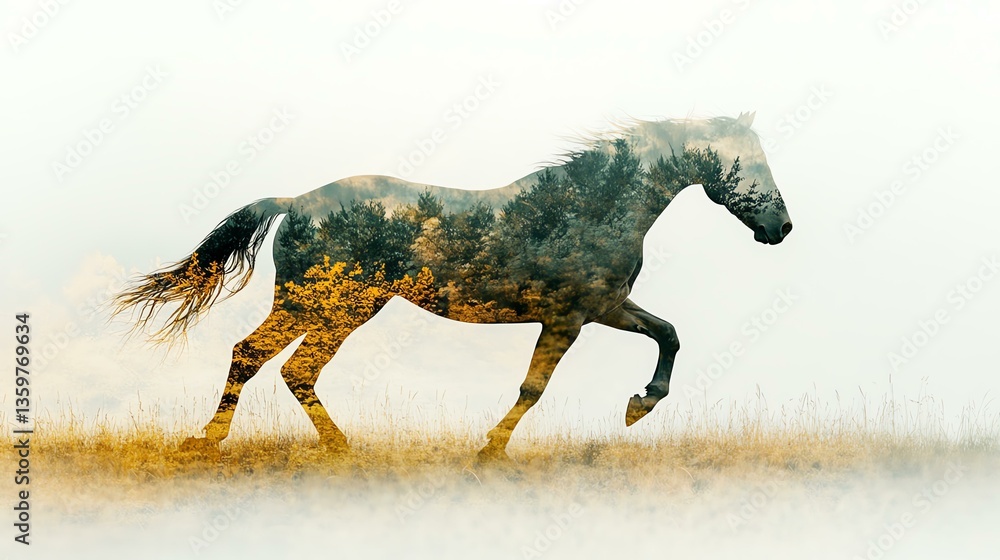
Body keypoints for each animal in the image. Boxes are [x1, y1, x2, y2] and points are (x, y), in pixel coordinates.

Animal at [113, 111, 792, 462]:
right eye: (752, 163)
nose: (781, 227)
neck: (590, 207)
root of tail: (296, 201)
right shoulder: (571, 315)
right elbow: (534, 386)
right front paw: (491, 447)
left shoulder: (604, 307)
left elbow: (668, 333)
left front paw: (637, 406)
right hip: (328, 306)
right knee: (266, 359)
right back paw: (231, 442)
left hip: (337, 309)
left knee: (276, 364)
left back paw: (320, 445)